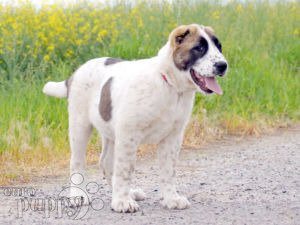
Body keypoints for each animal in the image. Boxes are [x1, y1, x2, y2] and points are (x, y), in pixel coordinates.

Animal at [43, 23, 229, 212]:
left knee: (106, 163)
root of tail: (75, 74)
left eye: (219, 47)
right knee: (77, 162)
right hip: (80, 125)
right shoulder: (129, 135)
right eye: (199, 48)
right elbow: (125, 170)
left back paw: (129, 193)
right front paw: (122, 202)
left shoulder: (172, 137)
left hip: (110, 132)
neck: (169, 84)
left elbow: (168, 171)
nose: (223, 65)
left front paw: (171, 198)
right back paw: (79, 195)